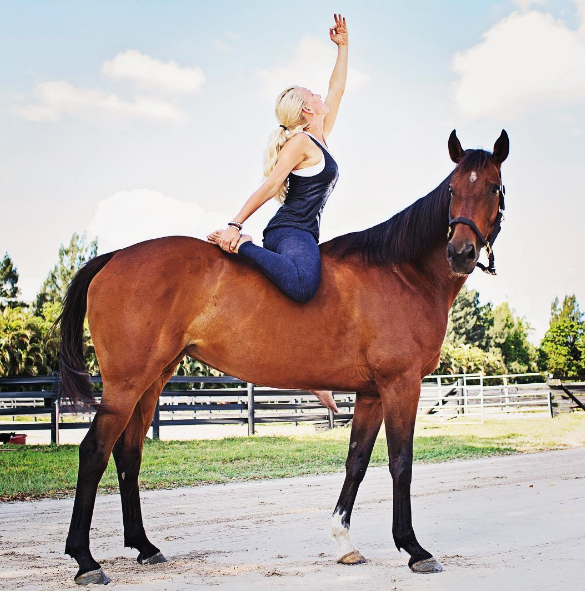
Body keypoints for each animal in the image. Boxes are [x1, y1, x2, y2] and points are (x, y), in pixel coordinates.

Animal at [57, 127, 508, 584]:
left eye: (493, 187)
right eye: (452, 190)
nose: (461, 252)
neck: (401, 271)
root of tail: (114, 257)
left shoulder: (371, 394)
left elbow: (357, 461)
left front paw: (344, 541)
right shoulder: (401, 384)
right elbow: (401, 462)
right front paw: (414, 548)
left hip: (152, 381)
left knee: (128, 454)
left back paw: (145, 547)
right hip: (126, 384)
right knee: (93, 452)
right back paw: (85, 560)